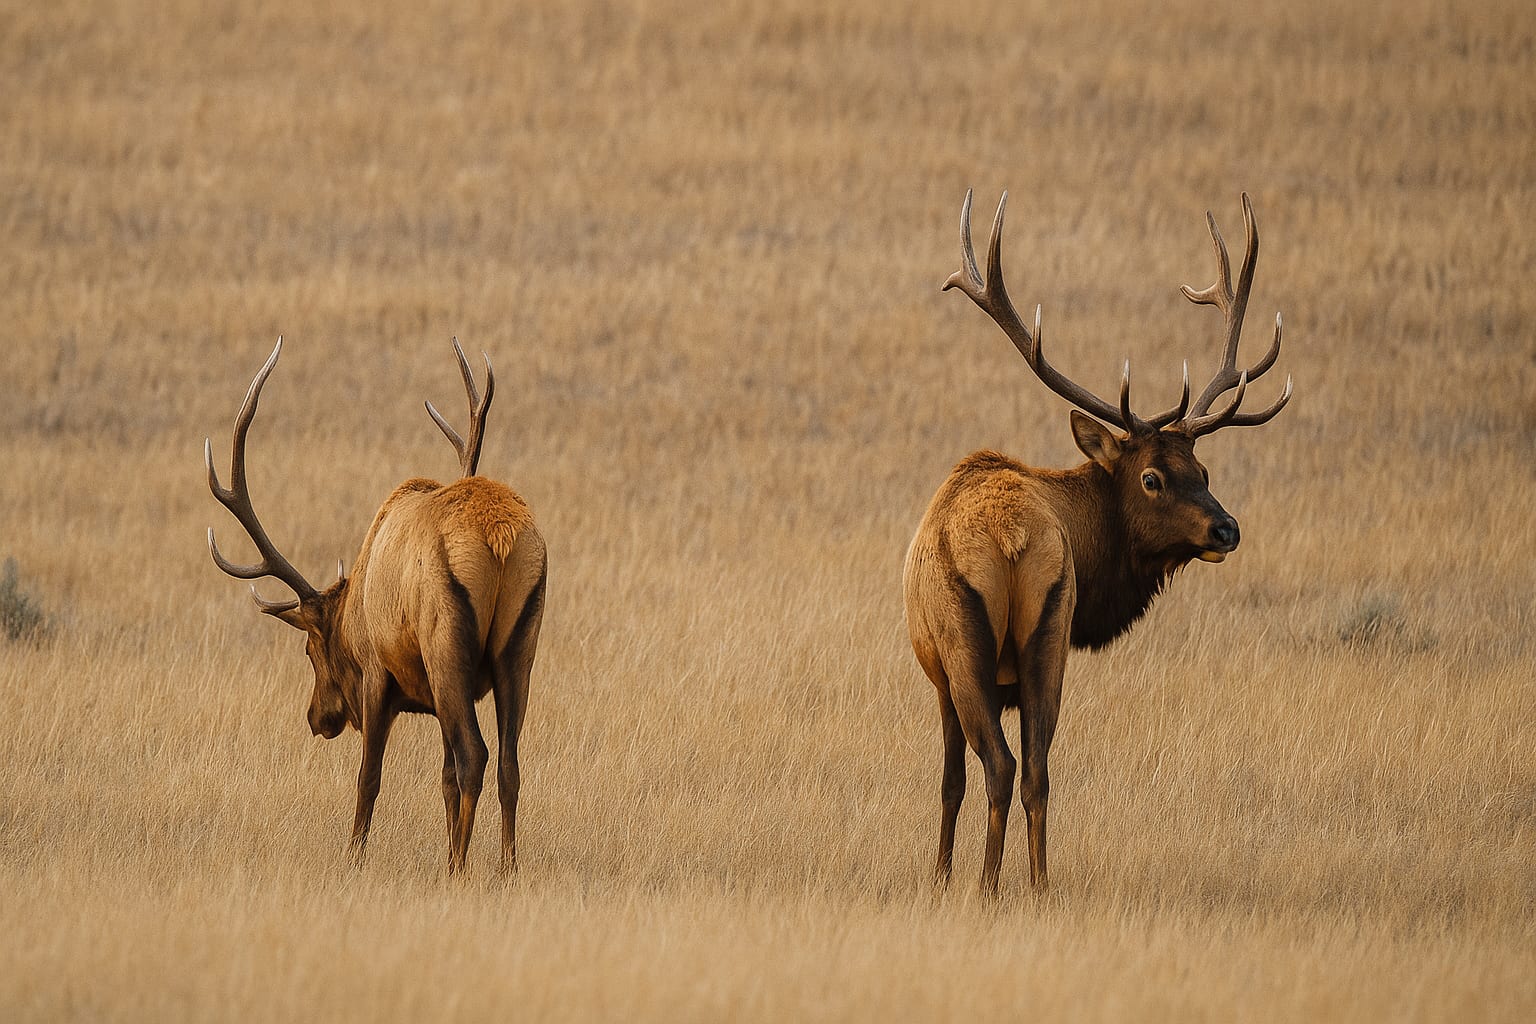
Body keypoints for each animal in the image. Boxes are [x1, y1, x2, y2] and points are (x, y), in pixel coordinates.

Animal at [206, 338, 547, 873]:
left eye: (310, 651)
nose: (316, 717)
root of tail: (500, 537)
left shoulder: (376, 675)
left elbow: (369, 778)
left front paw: (353, 858)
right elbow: (444, 778)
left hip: (445, 643)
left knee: (476, 755)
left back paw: (458, 869)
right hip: (521, 642)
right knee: (509, 763)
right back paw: (507, 869)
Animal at [904, 191, 1293, 894]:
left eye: (1201, 470)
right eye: (1157, 476)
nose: (1227, 528)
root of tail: (1011, 538)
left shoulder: (938, 677)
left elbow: (949, 784)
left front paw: (939, 877)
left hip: (967, 647)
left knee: (1001, 766)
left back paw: (989, 887)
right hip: (1049, 637)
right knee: (1036, 770)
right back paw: (1039, 886)